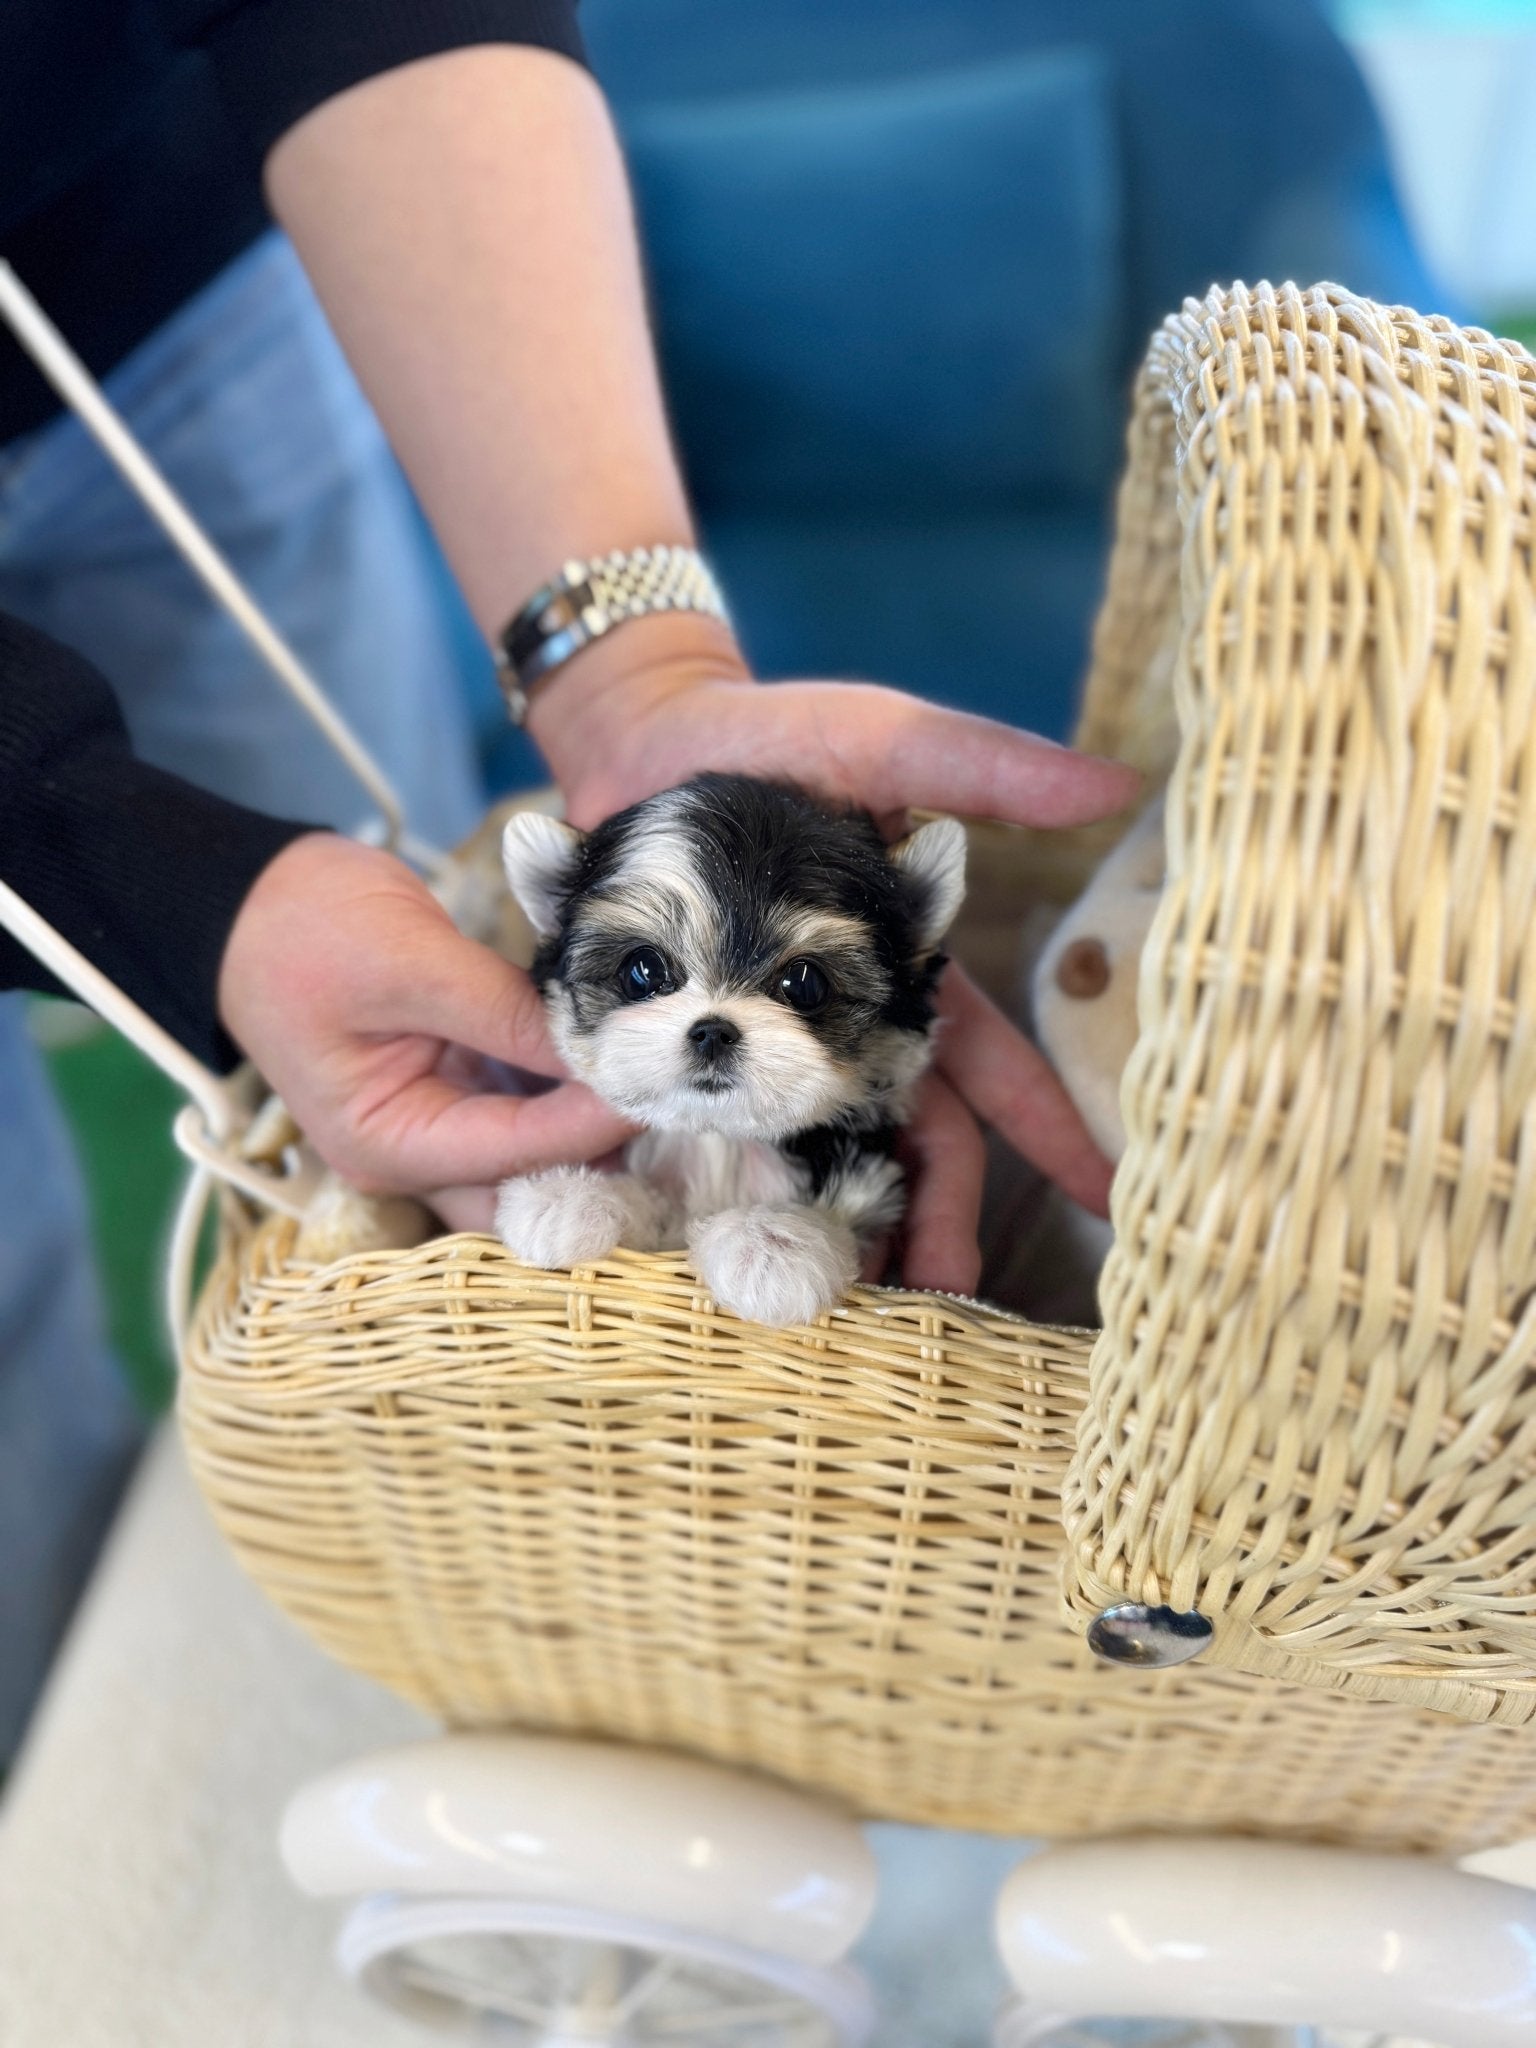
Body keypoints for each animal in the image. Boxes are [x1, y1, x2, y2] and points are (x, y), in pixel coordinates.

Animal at [499, 770, 966, 1327]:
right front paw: (572, 1198)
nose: (712, 1030)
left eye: (805, 983)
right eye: (643, 970)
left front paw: (771, 1242)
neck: (725, 1139)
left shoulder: (872, 1184)